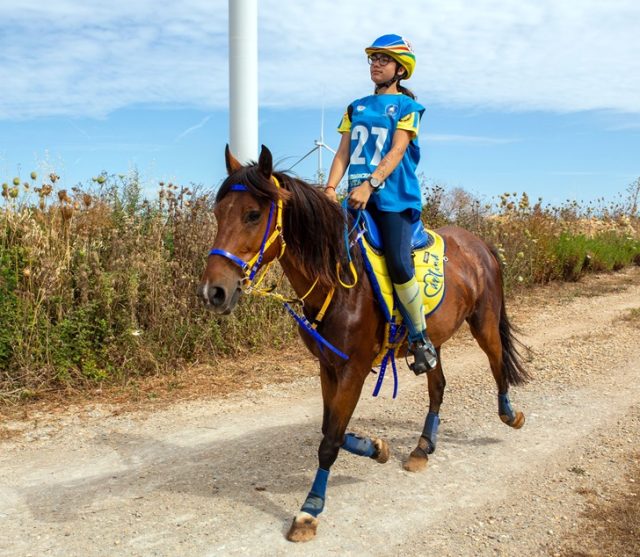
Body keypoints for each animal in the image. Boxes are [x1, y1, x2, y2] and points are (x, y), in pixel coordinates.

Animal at [198, 145, 529, 543]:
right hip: (433, 340)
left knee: (497, 364)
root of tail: (480, 244)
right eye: (218, 214)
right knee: (437, 386)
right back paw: (422, 448)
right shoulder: (328, 366)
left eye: (252, 214)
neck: (338, 279)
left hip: (485, 324)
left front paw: (309, 511)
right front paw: (376, 447)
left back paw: (510, 414)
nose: (214, 292)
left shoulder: (354, 369)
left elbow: (330, 441)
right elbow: (331, 430)